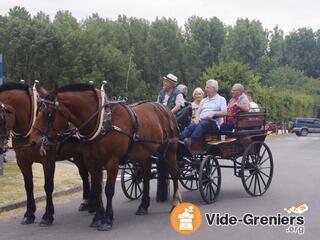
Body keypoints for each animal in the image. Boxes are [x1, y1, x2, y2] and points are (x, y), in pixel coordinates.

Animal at [0, 82, 94, 225]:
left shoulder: (48, 161)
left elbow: (48, 186)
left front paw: (47, 215)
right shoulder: (22, 161)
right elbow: (28, 186)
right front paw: (29, 214)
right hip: (78, 155)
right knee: (84, 175)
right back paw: (86, 202)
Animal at [29, 83, 182, 232]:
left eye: (48, 113)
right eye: (38, 110)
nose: (33, 141)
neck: (102, 121)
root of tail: (165, 109)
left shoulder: (112, 162)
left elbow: (108, 190)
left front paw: (107, 219)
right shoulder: (92, 163)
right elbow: (97, 189)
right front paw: (97, 218)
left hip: (171, 151)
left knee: (174, 174)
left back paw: (175, 204)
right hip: (145, 154)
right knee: (145, 177)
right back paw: (143, 206)